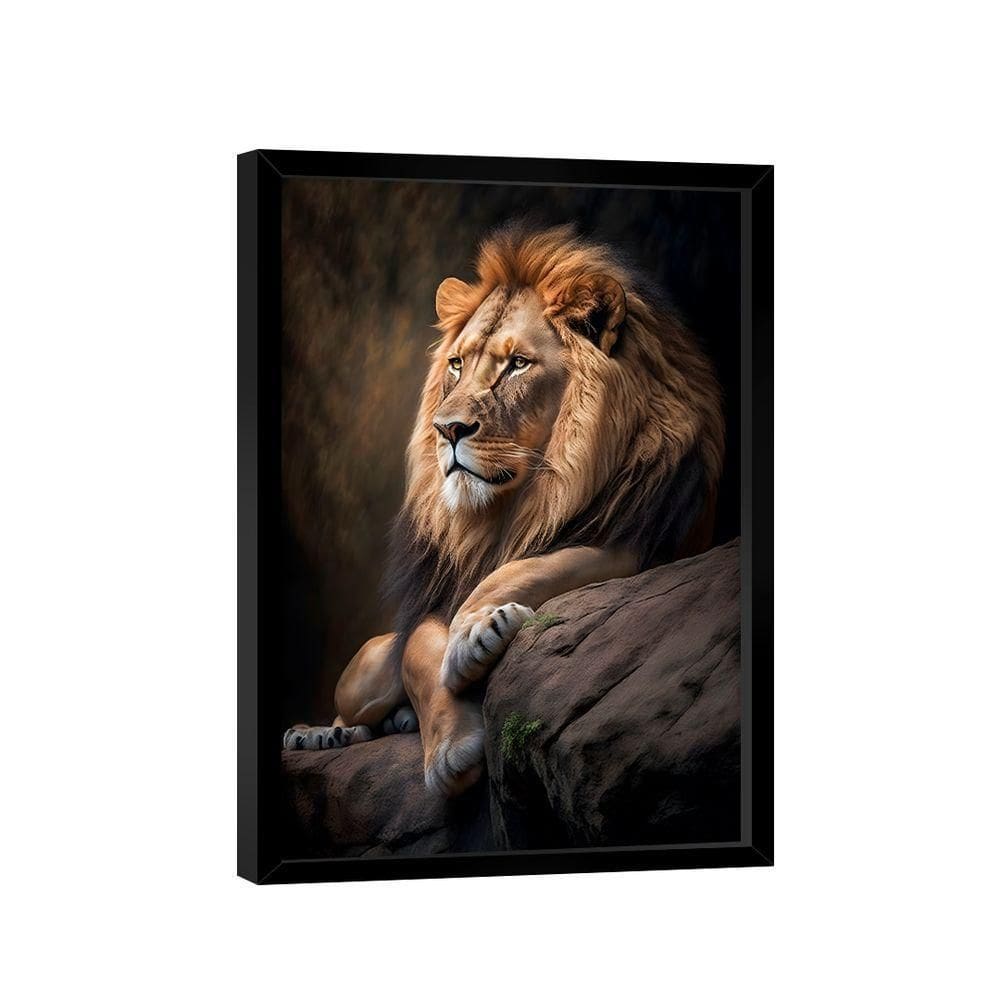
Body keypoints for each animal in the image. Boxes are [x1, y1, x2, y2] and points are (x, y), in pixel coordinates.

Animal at [284, 223, 725, 797]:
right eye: (456, 364)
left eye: (517, 364)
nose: (446, 429)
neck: (516, 508)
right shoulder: (431, 601)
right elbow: (420, 652)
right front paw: (450, 748)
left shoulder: (646, 542)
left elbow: (540, 564)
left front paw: (476, 631)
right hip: (368, 672)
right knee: (358, 702)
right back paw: (318, 735)